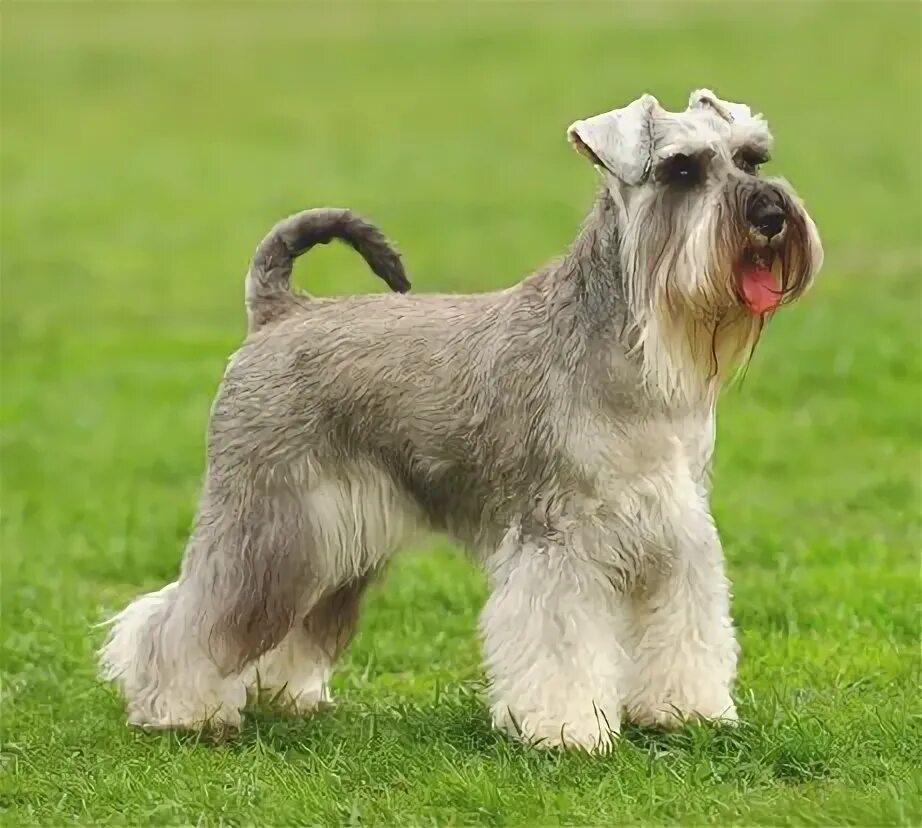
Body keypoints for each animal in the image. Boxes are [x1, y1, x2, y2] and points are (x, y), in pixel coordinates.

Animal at [99, 89, 820, 752]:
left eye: (752, 156)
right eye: (681, 170)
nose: (770, 214)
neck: (630, 346)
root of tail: (280, 311)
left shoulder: (676, 536)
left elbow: (686, 629)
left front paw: (685, 712)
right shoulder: (559, 540)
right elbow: (562, 644)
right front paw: (566, 730)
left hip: (332, 543)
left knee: (292, 625)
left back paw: (284, 695)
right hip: (269, 526)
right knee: (185, 619)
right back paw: (180, 709)